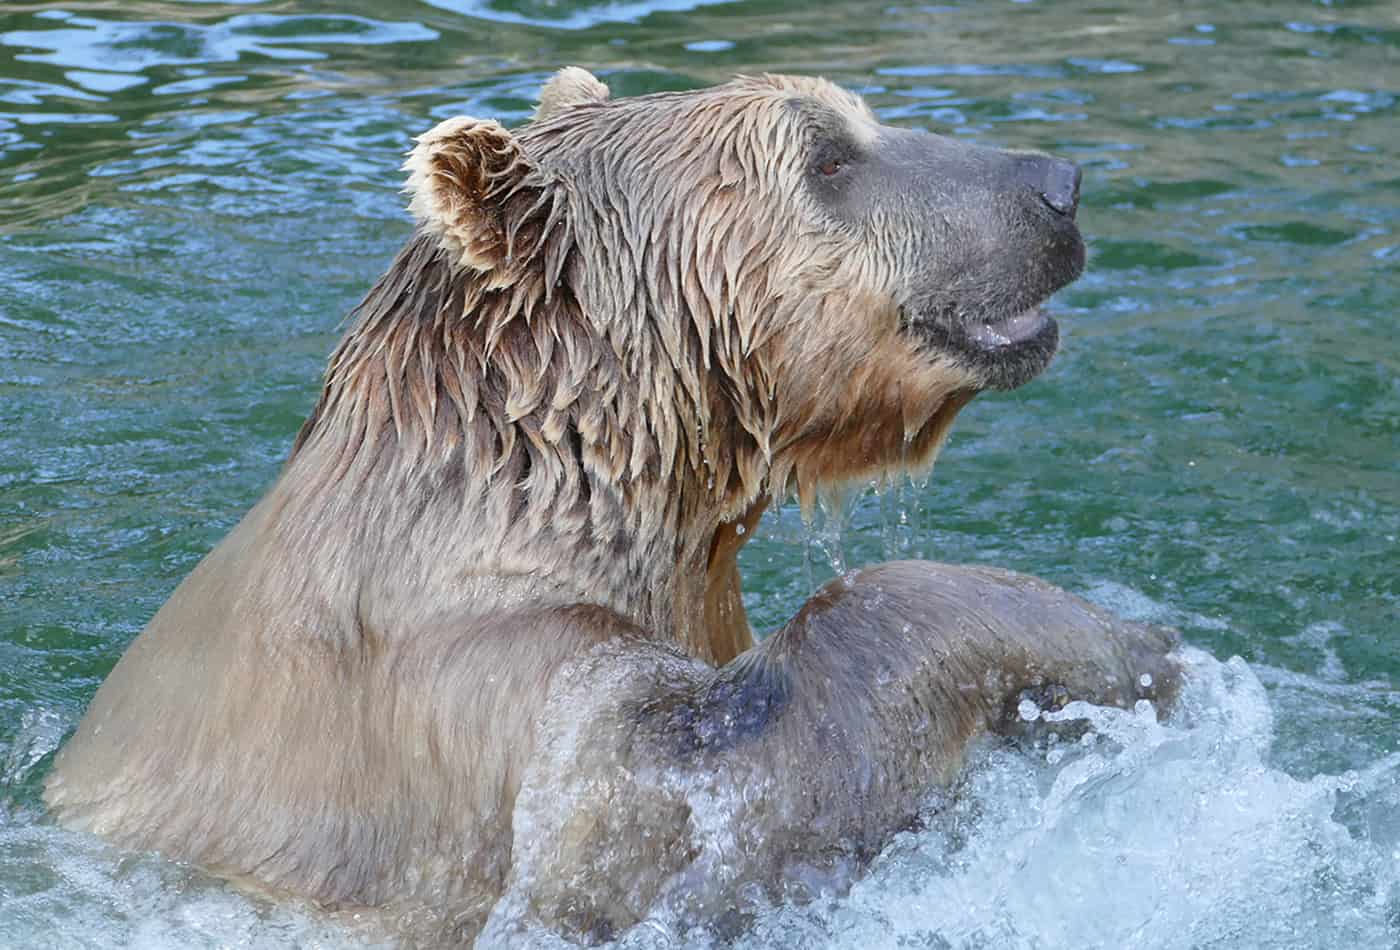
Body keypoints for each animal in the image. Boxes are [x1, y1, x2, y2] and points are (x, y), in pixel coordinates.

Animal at [43, 68, 1181, 945]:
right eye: (824, 157)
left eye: (855, 122)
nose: (1057, 186)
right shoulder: (462, 710)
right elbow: (684, 808)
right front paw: (1121, 647)